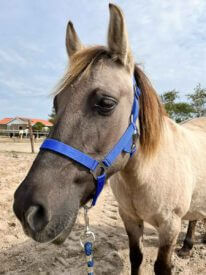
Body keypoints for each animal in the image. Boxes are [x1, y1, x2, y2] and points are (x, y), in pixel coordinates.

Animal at [13, 4, 206, 275]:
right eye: (56, 103)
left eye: (106, 103)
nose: (27, 209)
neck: (148, 172)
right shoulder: (130, 219)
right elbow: (136, 257)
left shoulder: (170, 226)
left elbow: (162, 266)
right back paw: (189, 246)